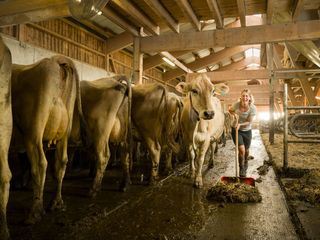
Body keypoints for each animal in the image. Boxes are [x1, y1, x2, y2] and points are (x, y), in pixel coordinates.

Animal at [10, 56, 82, 225]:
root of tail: (56, 63)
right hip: (64, 132)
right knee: (61, 161)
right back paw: (56, 203)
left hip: (33, 131)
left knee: (40, 163)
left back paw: (35, 212)